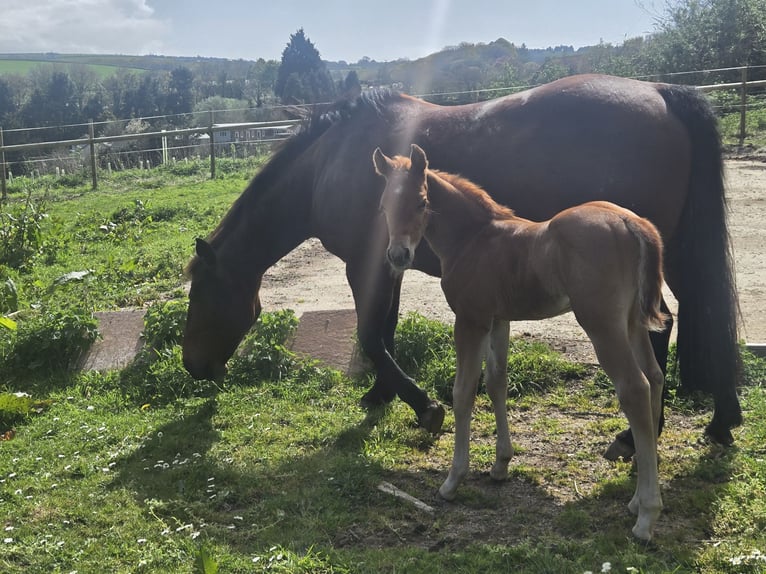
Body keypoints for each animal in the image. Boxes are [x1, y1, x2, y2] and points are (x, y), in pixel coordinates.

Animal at [182, 74, 741, 459]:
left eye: (199, 296)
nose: (192, 368)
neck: (328, 165)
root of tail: (663, 92)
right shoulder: (390, 265)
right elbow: (384, 331)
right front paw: (381, 395)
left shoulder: (364, 267)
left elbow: (370, 335)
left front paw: (423, 406)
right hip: (667, 251)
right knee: (684, 317)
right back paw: (718, 421)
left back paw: (639, 433)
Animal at [373, 143, 668, 540]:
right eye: (384, 205)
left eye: (421, 202)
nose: (398, 255)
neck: (473, 239)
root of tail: (630, 222)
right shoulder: (499, 319)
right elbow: (497, 382)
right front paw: (501, 464)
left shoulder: (470, 320)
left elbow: (463, 391)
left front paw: (453, 480)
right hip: (632, 323)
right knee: (654, 378)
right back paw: (636, 500)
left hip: (602, 324)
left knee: (634, 387)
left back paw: (647, 516)